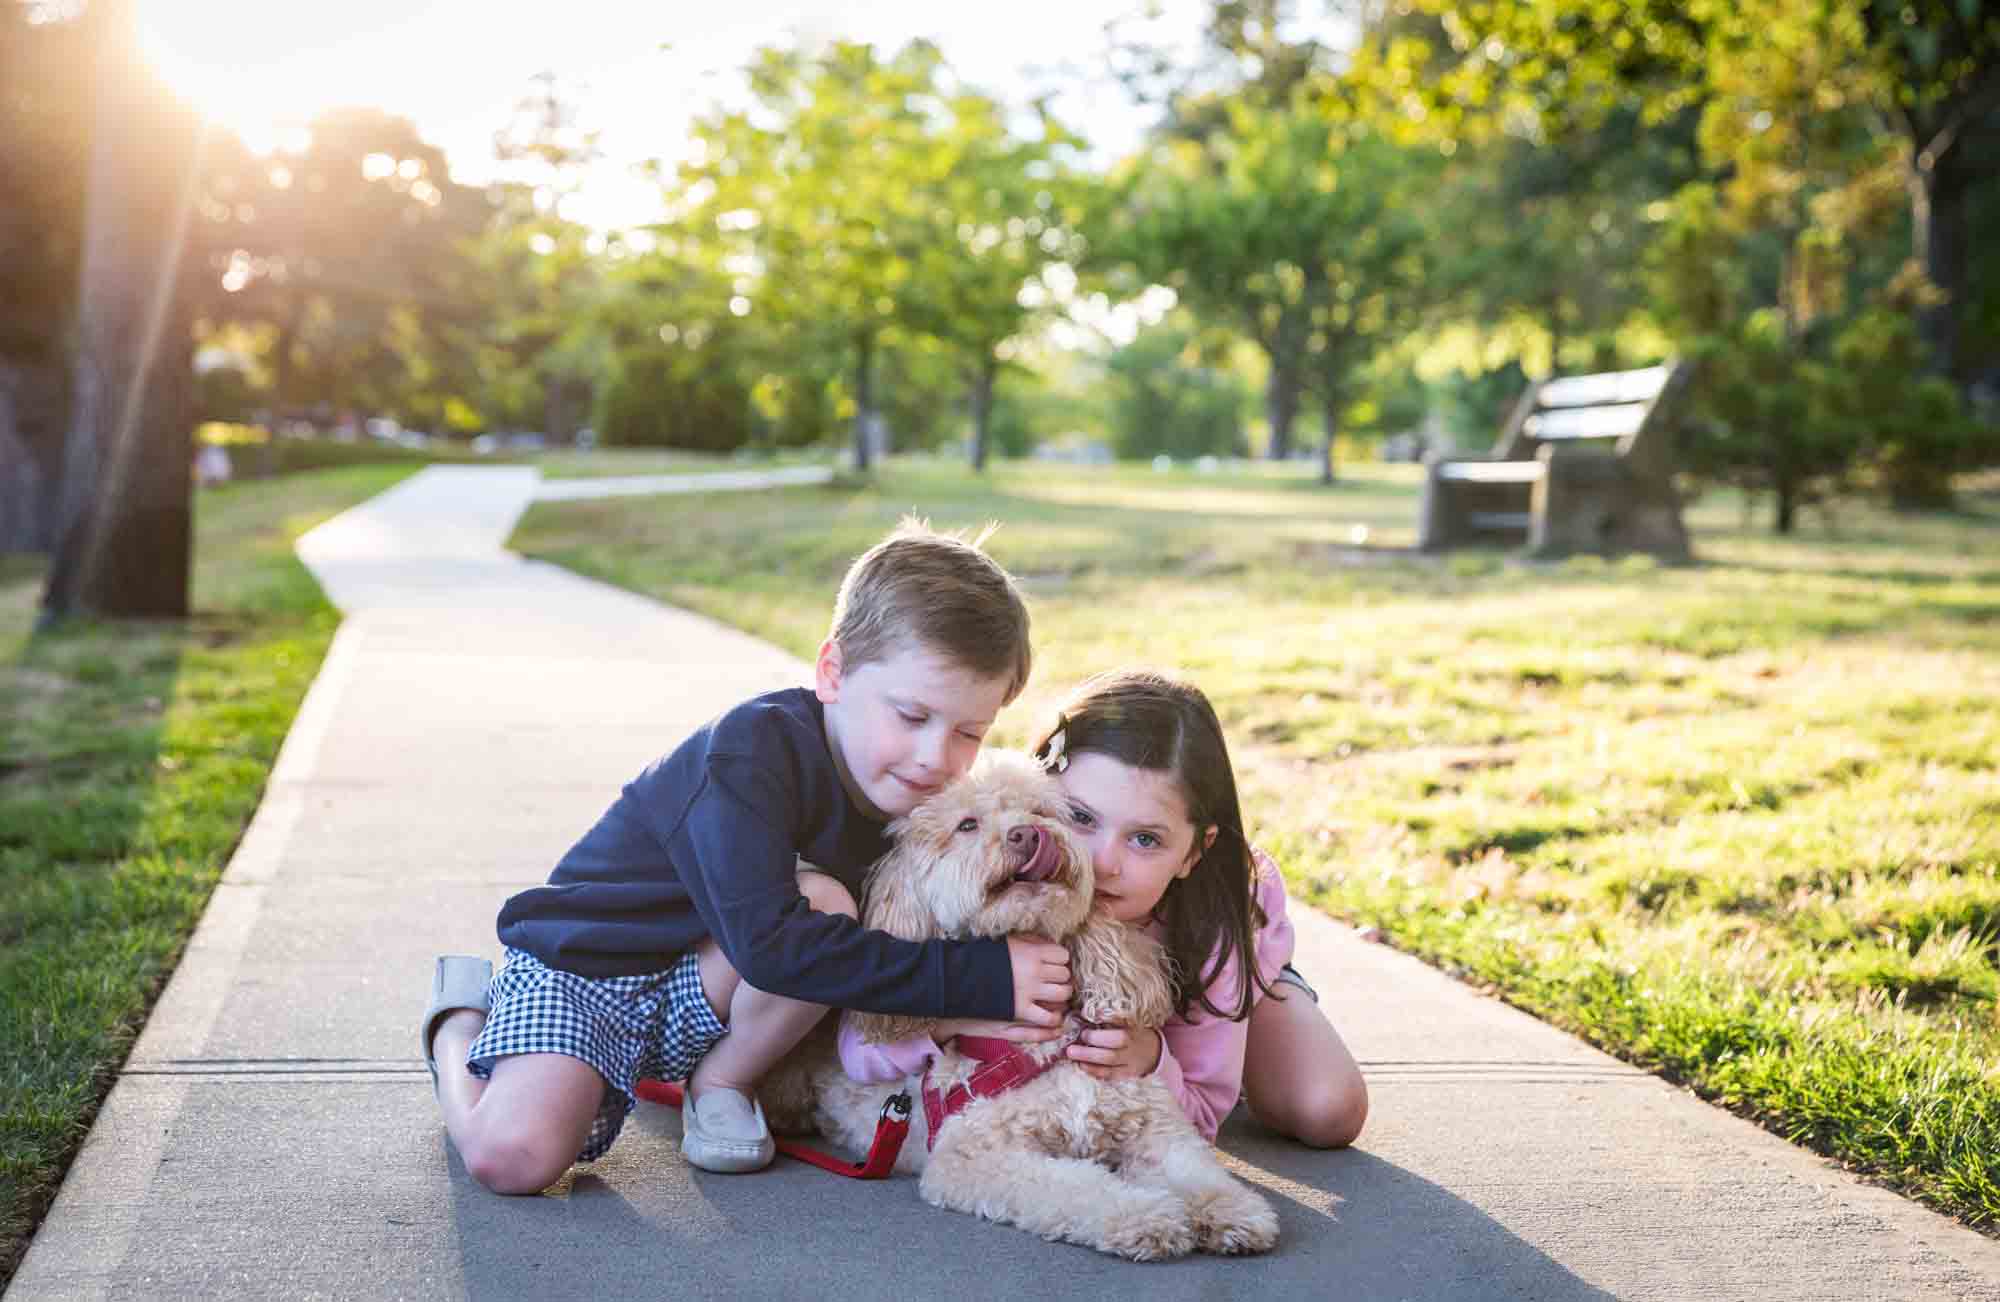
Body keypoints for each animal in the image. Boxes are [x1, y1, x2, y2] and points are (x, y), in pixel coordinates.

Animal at [772, 752, 1272, 1264]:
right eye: (967, 825)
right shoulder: (976, 1156)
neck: (1042, 1043)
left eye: (1041, 812)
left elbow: (1193, 1167)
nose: (1028, 834)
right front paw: (1146, 1216)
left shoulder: (1154, 1126)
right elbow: (1078, 1188)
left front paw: (1230, 1210)